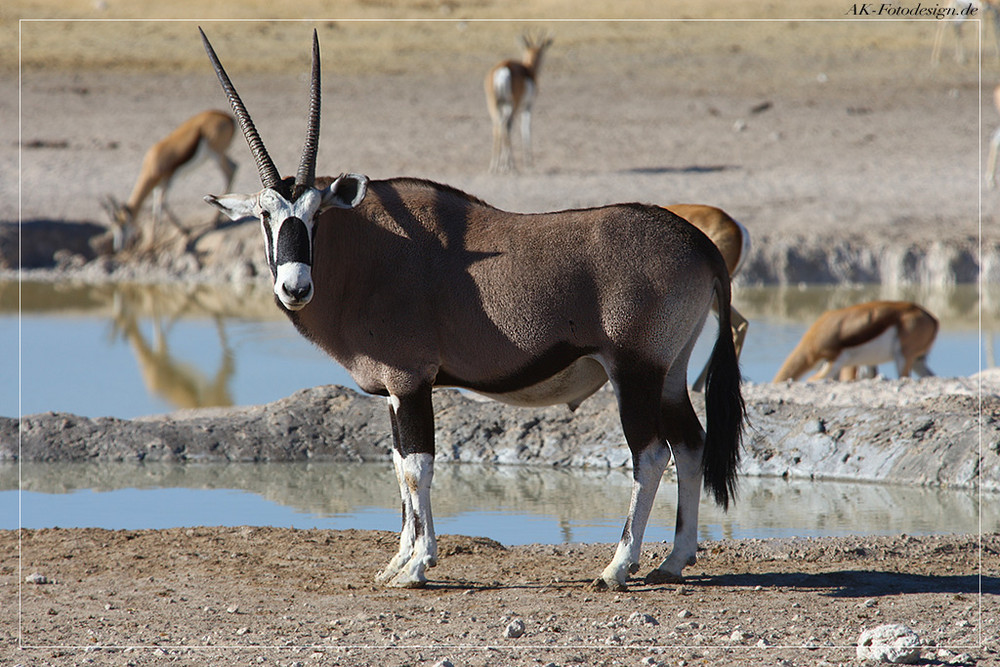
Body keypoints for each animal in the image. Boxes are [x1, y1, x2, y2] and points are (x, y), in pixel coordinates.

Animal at [104, 109, 237, 250]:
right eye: (113, 227)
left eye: (122, 226)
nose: (118, 247)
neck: (153, 161)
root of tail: (227, 117)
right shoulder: (158, 186)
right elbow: (156, 209)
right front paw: (152, 242)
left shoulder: (168, 181)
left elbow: (162, 204)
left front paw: (183, 232)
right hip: (219, 155)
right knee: (234, 167)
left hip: (216, 155)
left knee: (229, 172)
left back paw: (215, 220)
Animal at [486, 31, 556, 174]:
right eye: (542, 52)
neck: (528, 69)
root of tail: (503, 69)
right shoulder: (527, 106)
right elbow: (526, 128)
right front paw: (529, 163)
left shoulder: (506, 106)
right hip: (515, 104)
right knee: (507, 125)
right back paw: (511, 166)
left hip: (494, 105)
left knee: (497, 125)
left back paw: (494, 166)